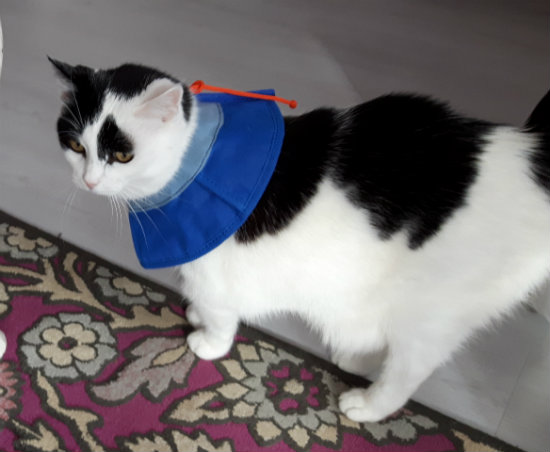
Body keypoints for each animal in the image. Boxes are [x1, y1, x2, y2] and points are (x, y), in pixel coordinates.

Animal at [50, 58, 550, 423]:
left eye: (122, 155)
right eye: (76, 147)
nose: (88, 181)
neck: (196, 164)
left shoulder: (218, 278)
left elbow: (220, 319)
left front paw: (207, 343)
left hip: (431, 315)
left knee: (408, 372)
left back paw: (367, 404)